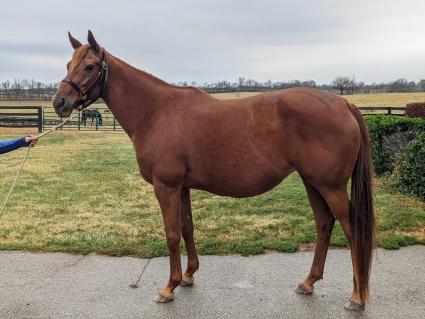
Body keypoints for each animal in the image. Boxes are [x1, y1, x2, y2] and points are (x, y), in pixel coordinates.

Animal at [52, 31, 374, 312]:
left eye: (90, 66)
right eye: (69, 65)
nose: (60, 102)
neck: (157, 112)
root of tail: (343, 102)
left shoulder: (166, 186)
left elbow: (171, 233)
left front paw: (168, 288)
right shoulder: (182, 187)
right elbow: (187, 228)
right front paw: (188, 276)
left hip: (330, 187)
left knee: (351, 229)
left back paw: (357, 296)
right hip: (312, 182)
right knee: (324, 224)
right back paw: (309, 282)